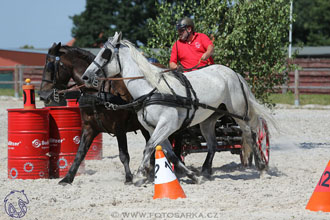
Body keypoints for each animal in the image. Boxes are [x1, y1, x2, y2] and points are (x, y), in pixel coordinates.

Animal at [39, 42, 151, 184]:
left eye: (50, 66)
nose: (43, 95)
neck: (97, 92)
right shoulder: (89, 128)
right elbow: (80, 154)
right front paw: (67, 178)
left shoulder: (119, 128)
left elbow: (123, 154)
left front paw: (128, 178)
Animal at [81, 31, 274, 186]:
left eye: (105, 54)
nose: (86, 76)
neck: (151, 90)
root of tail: (234, 73)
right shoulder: (153, 128)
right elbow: (170, 153)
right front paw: (193, 176)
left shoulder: (167, 124)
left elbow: (149, 147)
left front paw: (139, 175)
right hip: (209, 119)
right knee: (212, 145)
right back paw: (205, 172)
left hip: (239, 114)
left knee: (251, 136)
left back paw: (262, 169)